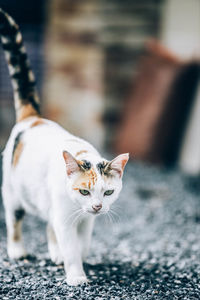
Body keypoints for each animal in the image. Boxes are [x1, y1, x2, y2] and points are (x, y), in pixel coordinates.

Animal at [0, 7, 129, 286]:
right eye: (84, 191)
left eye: (108, 192)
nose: (97, 207)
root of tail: (33, 117)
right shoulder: (64, 217)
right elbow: (70, 246)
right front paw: (77, 275)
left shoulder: (86, 222)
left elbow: (82, 243)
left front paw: (76, 256)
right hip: (13, 193)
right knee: (15, 221)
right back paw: (17, 250)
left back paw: (54, 253)